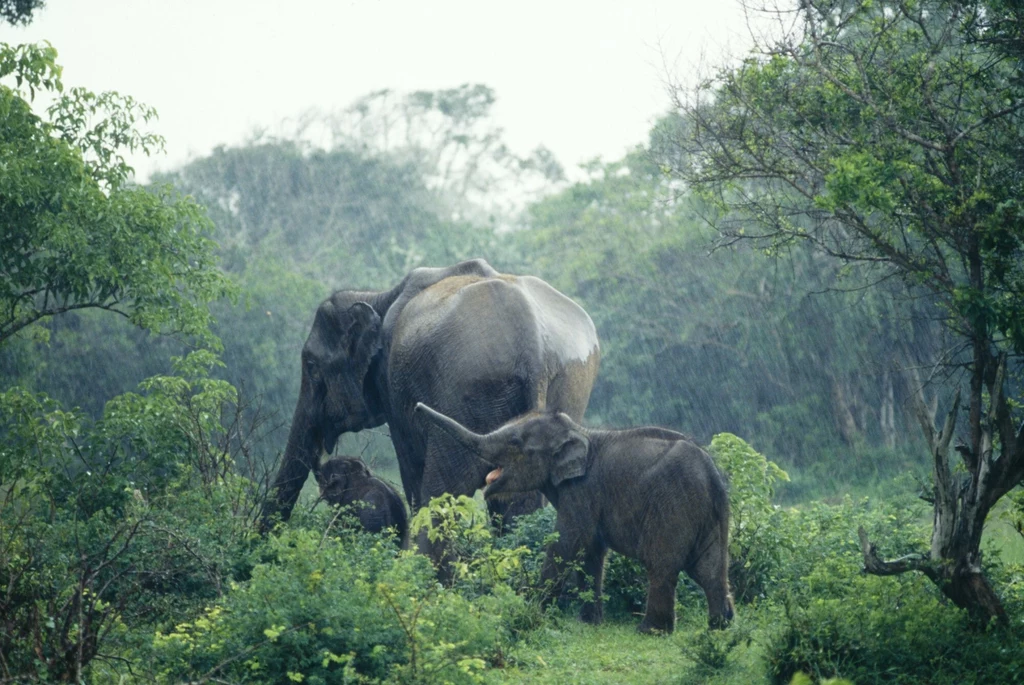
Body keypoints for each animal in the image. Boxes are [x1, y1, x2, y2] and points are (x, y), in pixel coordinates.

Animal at [258, 254, 598, 544]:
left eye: (311, 366)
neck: (378, 297)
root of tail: (535, 349)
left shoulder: (392, 386)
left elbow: (410, 465)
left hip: (467, 395)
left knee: (444, 491)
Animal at [411, 401, 733, 630]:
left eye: (514, 442)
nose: (416, 406)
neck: (578, 431)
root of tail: (711, 472)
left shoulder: (581, 490)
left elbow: (569, 543)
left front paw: (531, 609)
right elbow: (591, 551)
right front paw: (589, 622)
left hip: (673, 505)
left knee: (662, 565)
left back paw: (650, 631)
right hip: (711, 513)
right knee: (710, 567)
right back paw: (720, 627)